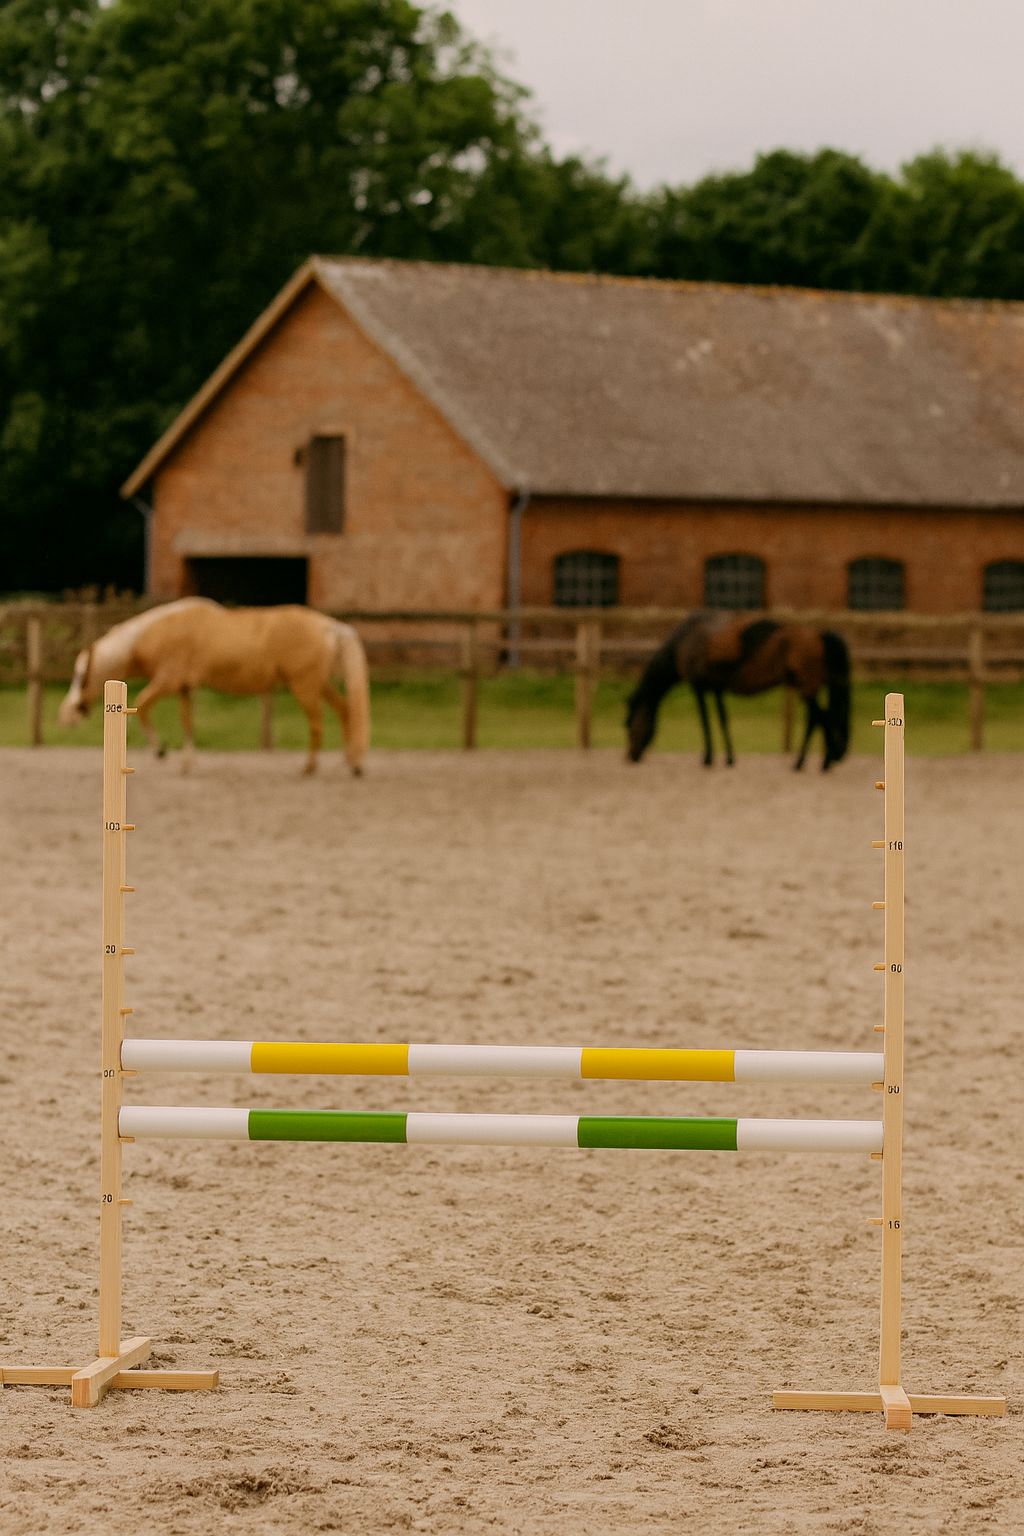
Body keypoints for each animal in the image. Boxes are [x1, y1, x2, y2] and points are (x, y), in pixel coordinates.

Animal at [58, 598, 370, 775]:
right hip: (318, 684)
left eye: (80, 676)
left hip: (304, 686)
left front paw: (161, 750)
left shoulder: (169, 680)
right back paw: (350, 762)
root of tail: (330, 626)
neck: (160, 632)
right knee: (345, 710)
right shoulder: (184, 688)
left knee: (318, 723)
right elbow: (187, 722)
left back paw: (310, 767)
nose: (66, 715)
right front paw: (188, 763)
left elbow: (144, 705)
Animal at [625, 612, 850, 770]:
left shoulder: (699, 685)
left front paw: (708, 758)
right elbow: (723, 719)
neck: (685, 640)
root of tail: (820, 635)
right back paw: (811, 761)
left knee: (820, 718)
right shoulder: (715, 687)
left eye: (627, 724)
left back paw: (816, 762)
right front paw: (729, 759)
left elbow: (705, 722)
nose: (630, 756)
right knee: (817, 718)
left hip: (806, 686)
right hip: (805, 686)